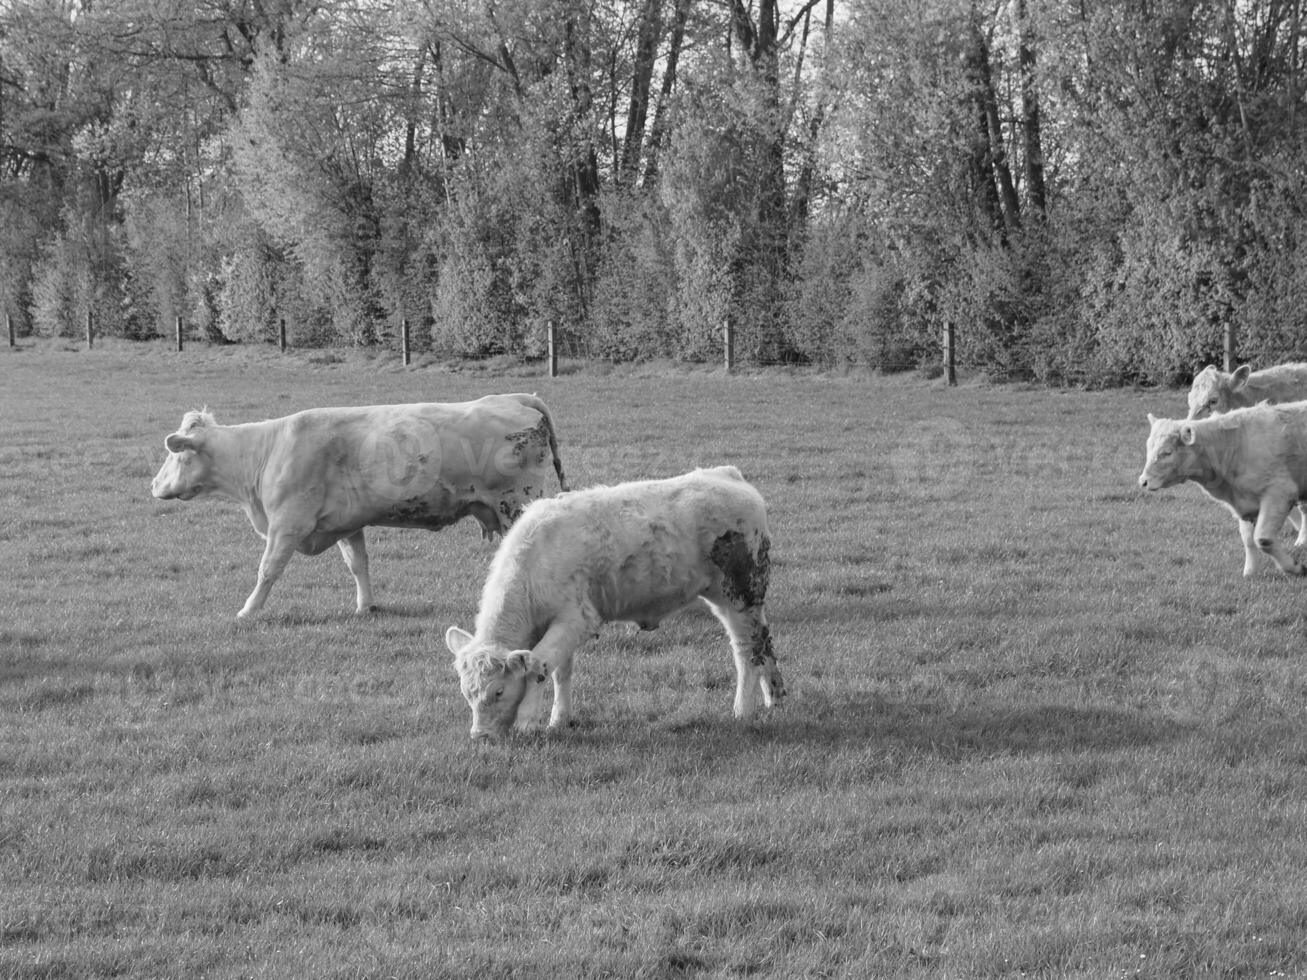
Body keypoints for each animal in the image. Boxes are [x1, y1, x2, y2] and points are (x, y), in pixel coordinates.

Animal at [149, 394, 567, 616]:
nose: (153, 485)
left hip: (519, 502)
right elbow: (358, 565)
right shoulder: (345, 525)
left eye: (176, 455)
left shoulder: (287, 524)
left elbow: (267, 570)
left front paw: (248, 611)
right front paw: (365, 606)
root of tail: (513, 398)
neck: (265, 451)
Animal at [444, 465, 784, 736]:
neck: (538, 556)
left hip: (737, 596)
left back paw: (743, 710)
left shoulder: (577, 620)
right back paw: (775, 696)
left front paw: (528, 721)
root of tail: (728, 475)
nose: (480, 736)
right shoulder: (561, 626)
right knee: (764, 641)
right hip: (746, 601)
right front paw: (560, 718)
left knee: (747, 651)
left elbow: (539, 665)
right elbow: (560, 671)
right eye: (466, 694)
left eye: (498, 691)